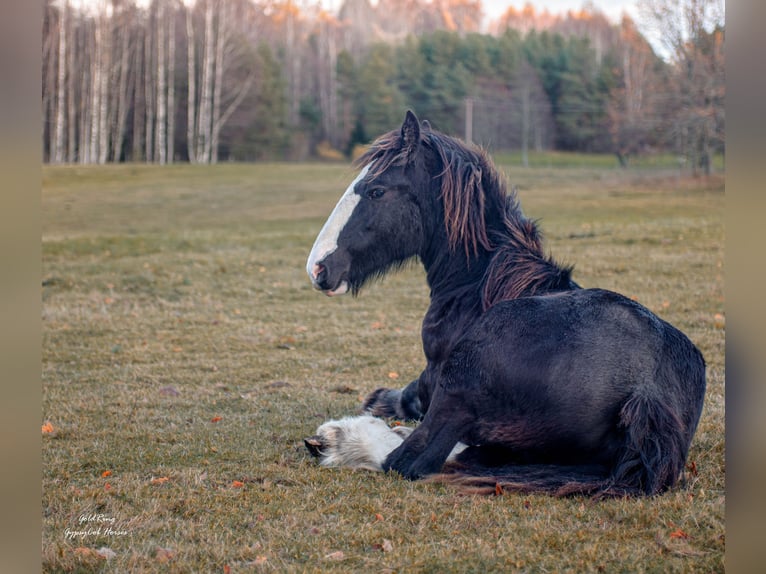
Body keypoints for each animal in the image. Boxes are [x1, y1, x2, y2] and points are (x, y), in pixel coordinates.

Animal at [306, 110, 708, 498]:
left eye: (376, 190)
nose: (318, 267)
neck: (478, 288)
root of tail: (646, 394)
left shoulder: (439, 380)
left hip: (459, 385)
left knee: (414, 459)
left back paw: (338, 440)